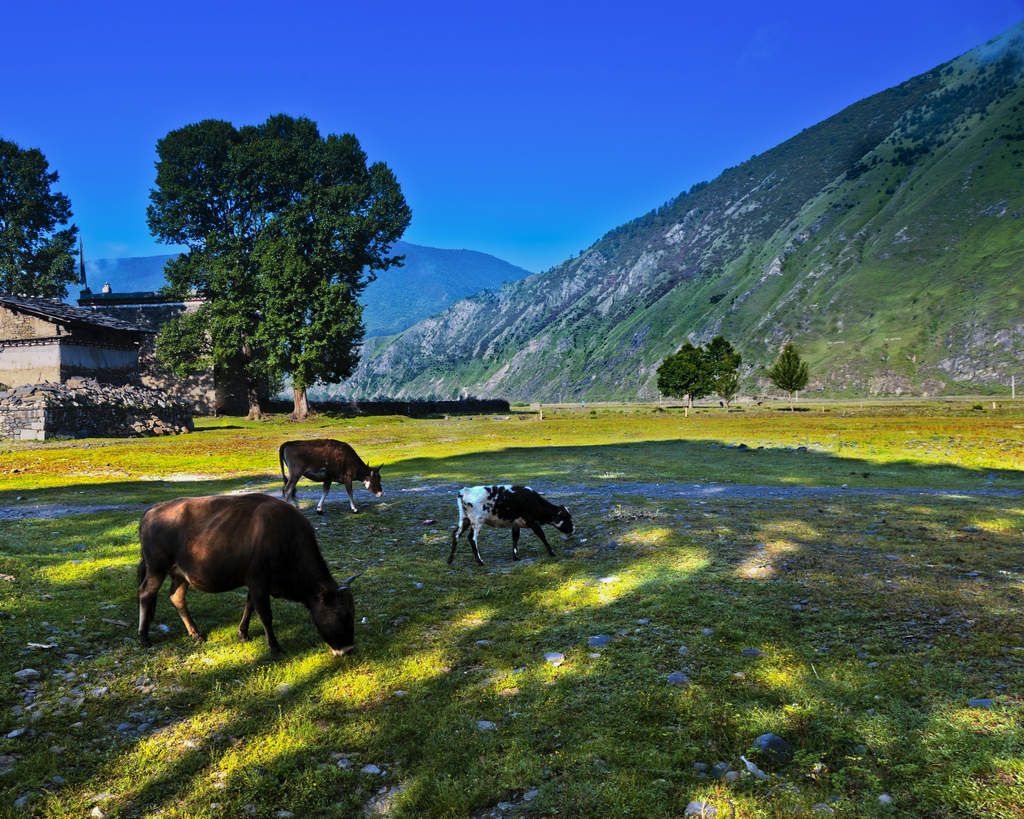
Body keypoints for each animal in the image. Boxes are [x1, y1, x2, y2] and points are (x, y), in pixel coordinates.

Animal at [136, 493, 360, 659]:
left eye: (353, 612)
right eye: (341, 615)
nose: (348, 649)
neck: (286, 539)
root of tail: (152, 510)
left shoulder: (256, 585)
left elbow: (250, 607)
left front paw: (243, 633)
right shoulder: (259, 583)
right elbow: (265, 615)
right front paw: (274, 647)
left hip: (180, 575)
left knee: (177, 597)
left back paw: (196, 634)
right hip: (156, 568)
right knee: (146, 594)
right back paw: (144, 637)